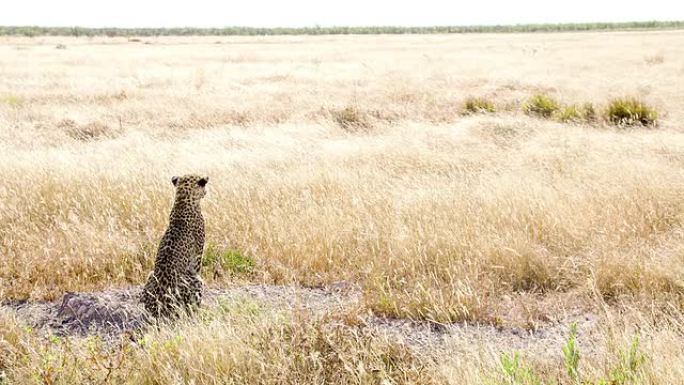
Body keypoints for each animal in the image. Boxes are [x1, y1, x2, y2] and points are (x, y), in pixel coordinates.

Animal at [141, 174, 208, 318]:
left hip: (151, 274)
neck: (182, 200)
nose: (206, 192)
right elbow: (197, 268)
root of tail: (157, 311)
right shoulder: (197, 261)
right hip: (192, 281)